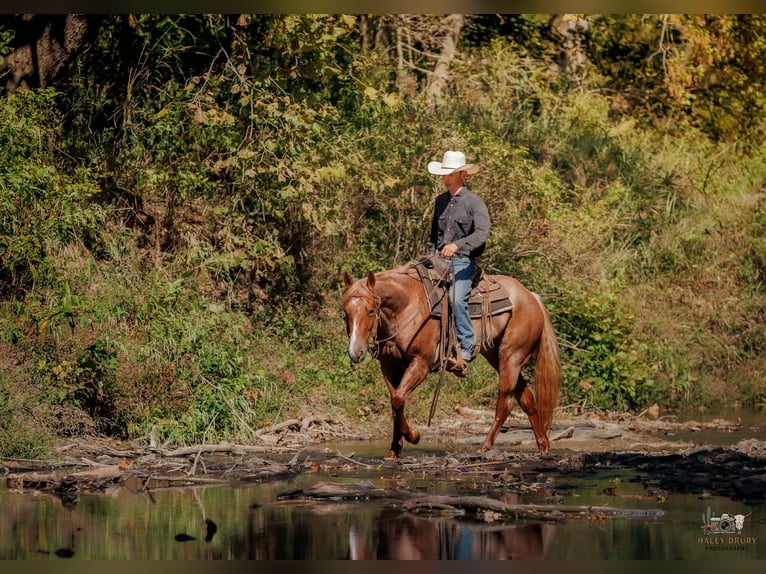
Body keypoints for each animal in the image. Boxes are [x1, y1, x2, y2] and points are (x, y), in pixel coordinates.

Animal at [341, 262, 561, 459]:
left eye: (371, 310)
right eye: (345, 312)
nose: (355, 352)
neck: (406, 307)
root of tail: (530, 296)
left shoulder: (421, 362)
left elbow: (398, 399)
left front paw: (414, 436)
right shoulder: (389, 366)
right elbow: (396, 402)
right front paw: (394, 449)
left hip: (511, 358)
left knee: (505, 403)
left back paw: (485, 447)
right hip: (497, 357)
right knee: (527, 400)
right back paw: (543, 446)